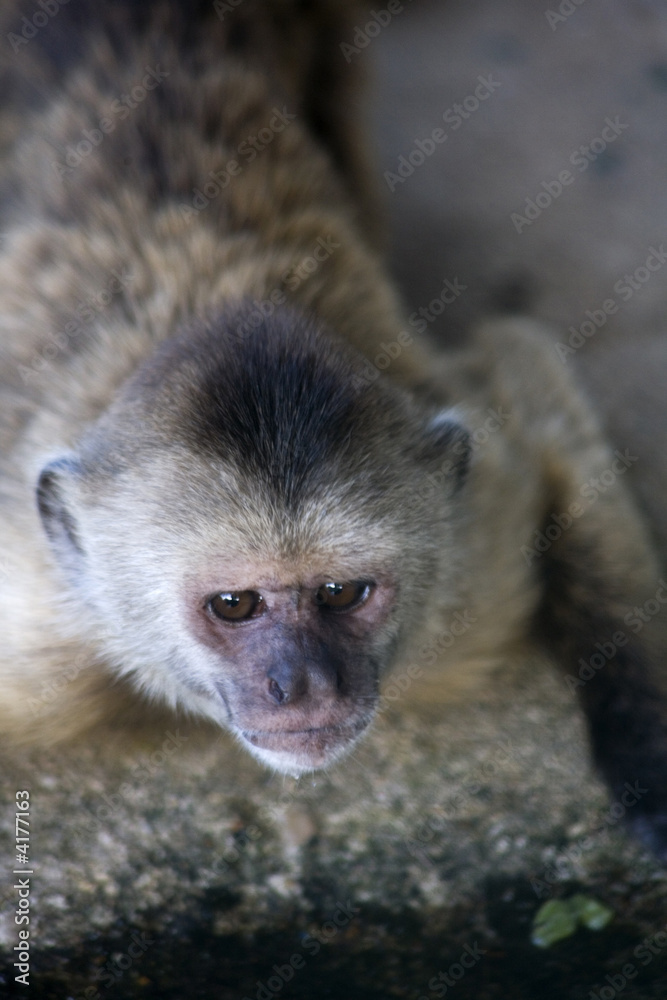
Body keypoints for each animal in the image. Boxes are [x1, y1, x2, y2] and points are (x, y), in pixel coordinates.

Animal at [0, 0, 666, 858]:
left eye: (342, 592)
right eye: (234, 605)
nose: (303, 685)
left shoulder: (473, 552)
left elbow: (516, 363)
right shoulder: (32, 632)